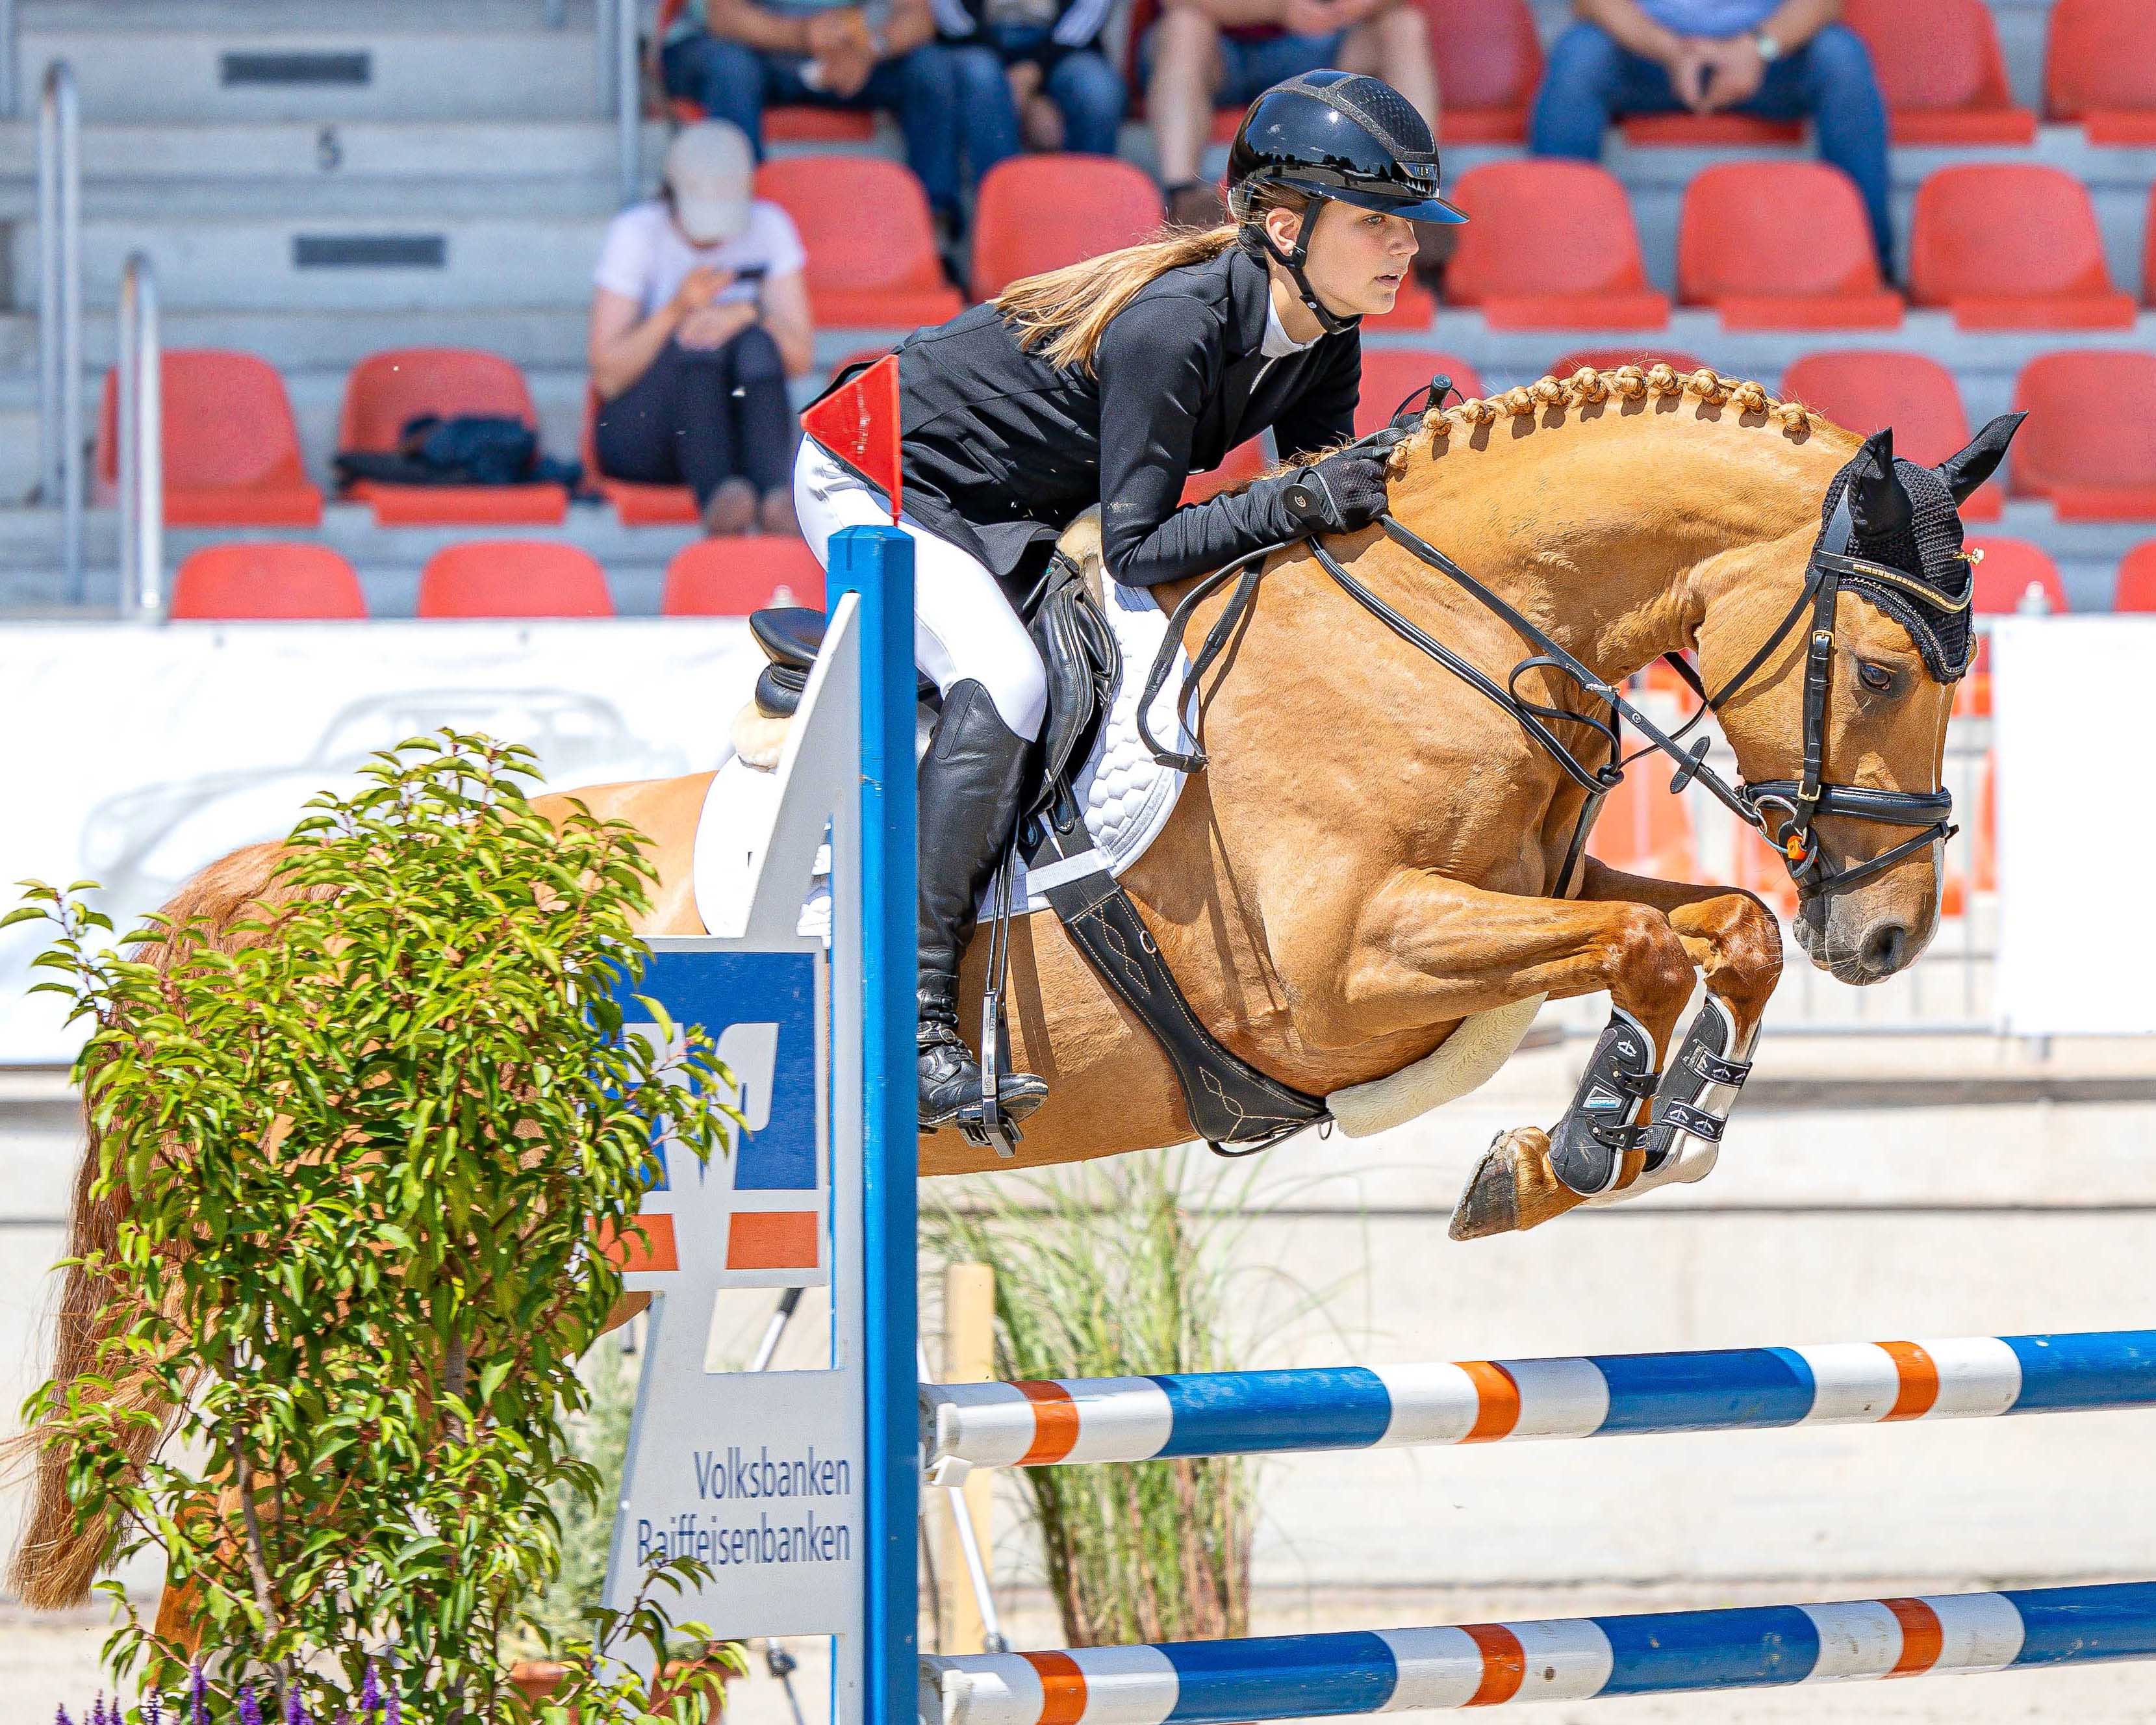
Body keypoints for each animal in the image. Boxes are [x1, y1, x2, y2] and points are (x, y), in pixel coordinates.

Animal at [9, 364, 2011, 1632]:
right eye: (1888, 663)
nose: (1893, 933)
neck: (1439, 630)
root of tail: (285, 905)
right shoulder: (1344, 967)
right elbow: (1660, 948)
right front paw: (1578, 1143)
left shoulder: (1513, 901)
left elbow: (1710, 932)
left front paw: (1650, 1126)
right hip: (405, 1271)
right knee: (250, 1517)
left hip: (508, 1283)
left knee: (272, 1523)